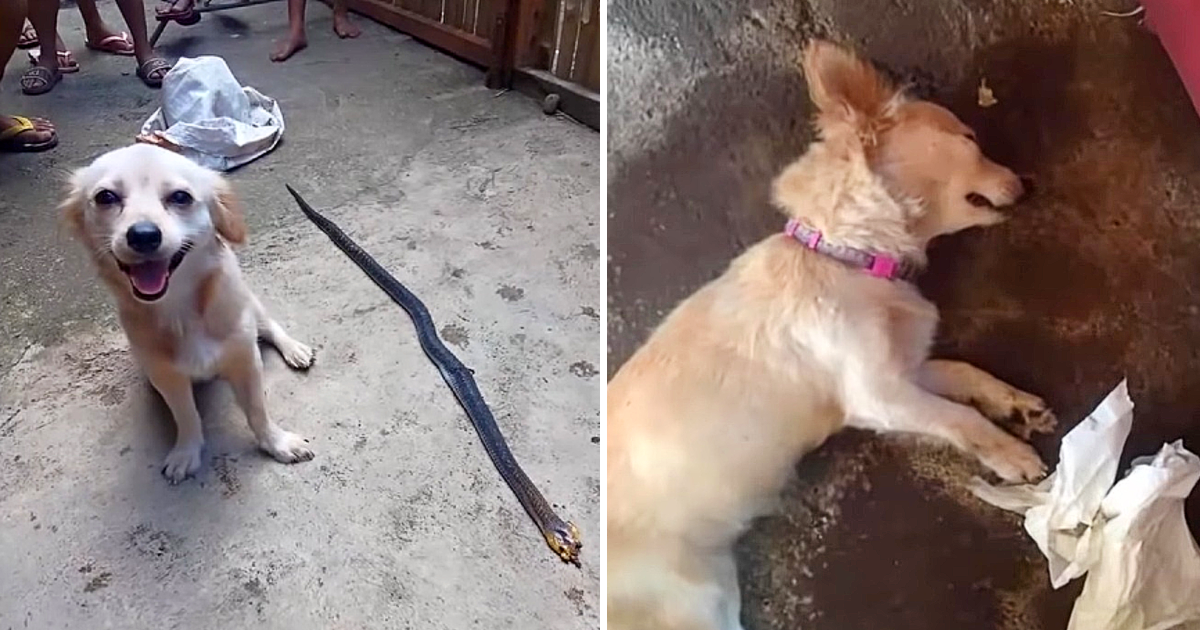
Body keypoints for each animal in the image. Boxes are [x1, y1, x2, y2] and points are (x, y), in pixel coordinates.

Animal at [604, 40, 1056, 628]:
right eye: (970, 139)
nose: (1031, 183)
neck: (848, 255)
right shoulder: (878, 396)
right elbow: (961, 418)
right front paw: (1010, 453)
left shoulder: (906, 369)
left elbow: (965, 373)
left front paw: (1017, 404)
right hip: (690, 607)